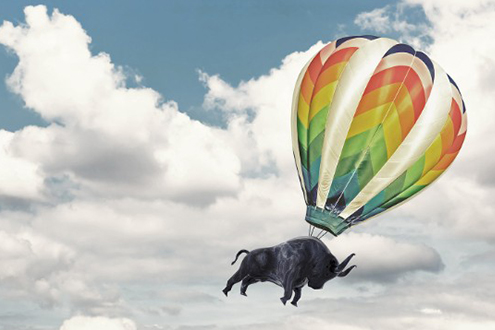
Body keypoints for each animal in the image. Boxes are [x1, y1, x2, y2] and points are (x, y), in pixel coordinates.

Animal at [224, 236, 356, 306]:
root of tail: (249, 253)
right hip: (244, 270)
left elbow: (297, 295)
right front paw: (283, 301)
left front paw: (294, 304)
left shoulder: (298, 284)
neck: (312, 256)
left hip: (256, 277)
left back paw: (243, 293)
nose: (318, 287)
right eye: (326, 272)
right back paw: (225, 292)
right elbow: (288, 293)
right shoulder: (289, 279)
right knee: (234, 279)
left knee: (245, 281)